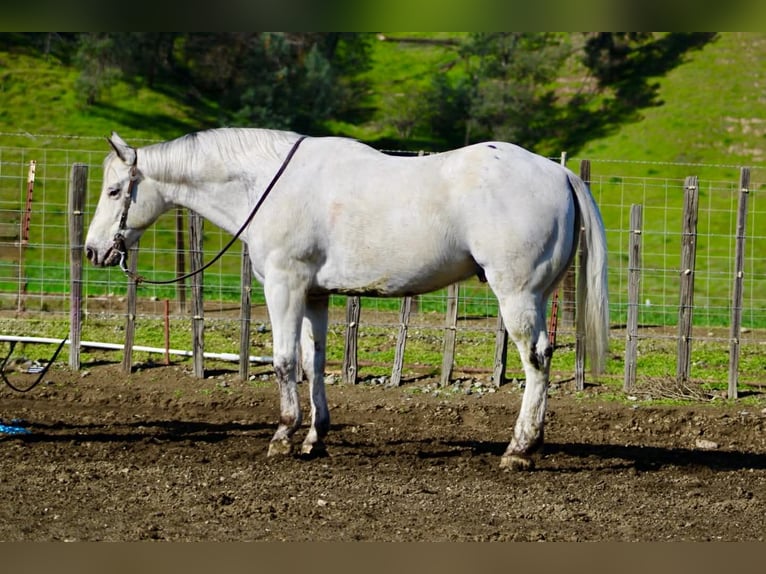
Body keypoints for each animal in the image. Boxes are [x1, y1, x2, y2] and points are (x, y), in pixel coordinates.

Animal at [84, 128, 609, 470]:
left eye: (114, 190)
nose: (93, 250)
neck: (266, 184)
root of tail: (560, 174)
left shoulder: (284, 285)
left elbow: (283, 360)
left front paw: (283, 436)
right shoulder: (314, 294)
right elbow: (314, 362)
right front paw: (315, 437)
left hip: (516, 294)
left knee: (536, 361)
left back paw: (519, 450)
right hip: (537, 294)